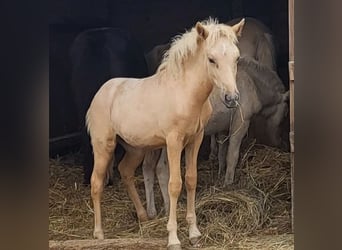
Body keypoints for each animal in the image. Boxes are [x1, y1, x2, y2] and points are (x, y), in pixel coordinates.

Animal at [85, 18, 246, 249]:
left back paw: (144, 216)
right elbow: (174, 184)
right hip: (103, 145)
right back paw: (99, 234)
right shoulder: (173, 142)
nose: (231, 98)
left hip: (135, 149)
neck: (185, 93)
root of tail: (100, 94)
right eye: (211, 59)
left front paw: (194, 233)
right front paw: (173, 238)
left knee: (125, 171)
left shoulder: (195, 139)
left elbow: (191, 180)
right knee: (96, 183)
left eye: (236, 58)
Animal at [142, 56, 288, 219]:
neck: (252, 83)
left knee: (147, 168)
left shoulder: (222, 127)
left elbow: (222, 153)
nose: (280, 142)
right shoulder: (240, 123)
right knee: (161, 169)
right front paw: (228, 183)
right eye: (285, 115)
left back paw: (151, 211)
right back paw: (168, 208)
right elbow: (232, 155)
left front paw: (220, 174)